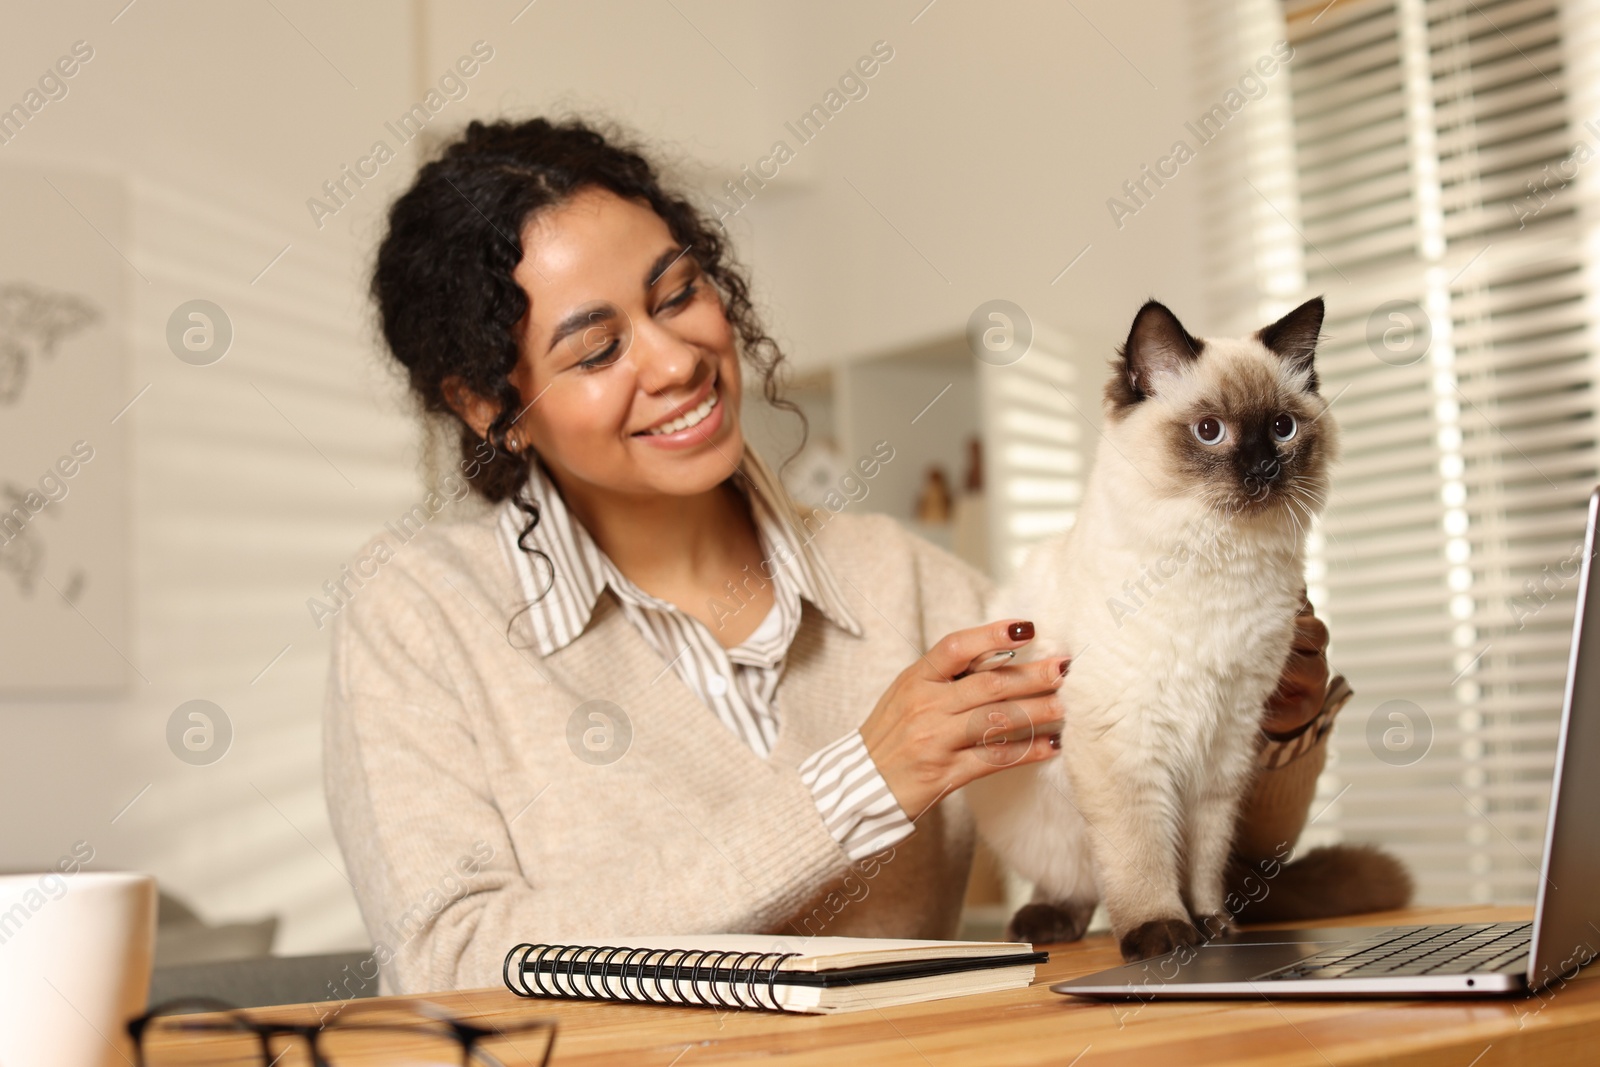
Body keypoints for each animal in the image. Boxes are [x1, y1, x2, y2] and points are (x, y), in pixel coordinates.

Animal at [960, 295, 1401, 966]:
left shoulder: (1225, 742)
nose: (1264, 467)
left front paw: (1213, 926)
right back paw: (1044, 924)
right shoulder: (1127, 742)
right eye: (1209, 431)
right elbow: (1143, 856)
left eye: (1283, 428)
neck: (1218, 567)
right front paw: (1163, 935)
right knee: (1081, 882)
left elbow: (1202, 859)